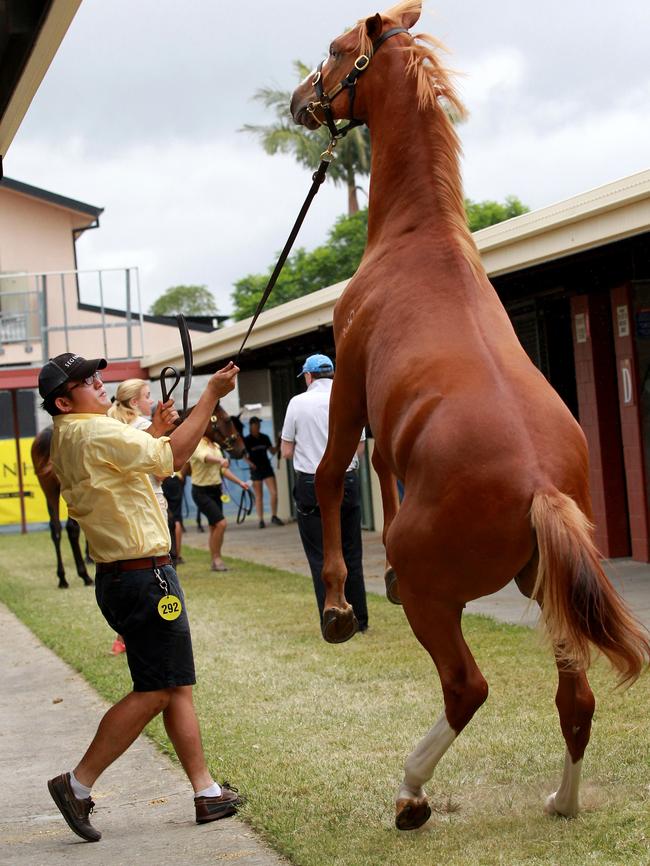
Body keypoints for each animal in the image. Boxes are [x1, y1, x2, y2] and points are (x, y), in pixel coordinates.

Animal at [31, 398, 243, 588]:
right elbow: (171, 519)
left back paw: (65, 577)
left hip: (51, 489)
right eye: (227, 420)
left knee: (58, 529)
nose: (241, 449)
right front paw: (174, 558)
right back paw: (82, 575)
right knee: (71, 528)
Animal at [290, 0, 648, 832]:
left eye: (335, 48)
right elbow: (370, 474)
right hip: (546, 590)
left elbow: (329, 477)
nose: (299, 101)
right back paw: (560, 801)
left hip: (441, 599)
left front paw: (337, 606)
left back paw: (411, 793)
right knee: (576, 697)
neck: (417, 237)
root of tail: (542, 489)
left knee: (468, 688)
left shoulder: (346, 384)